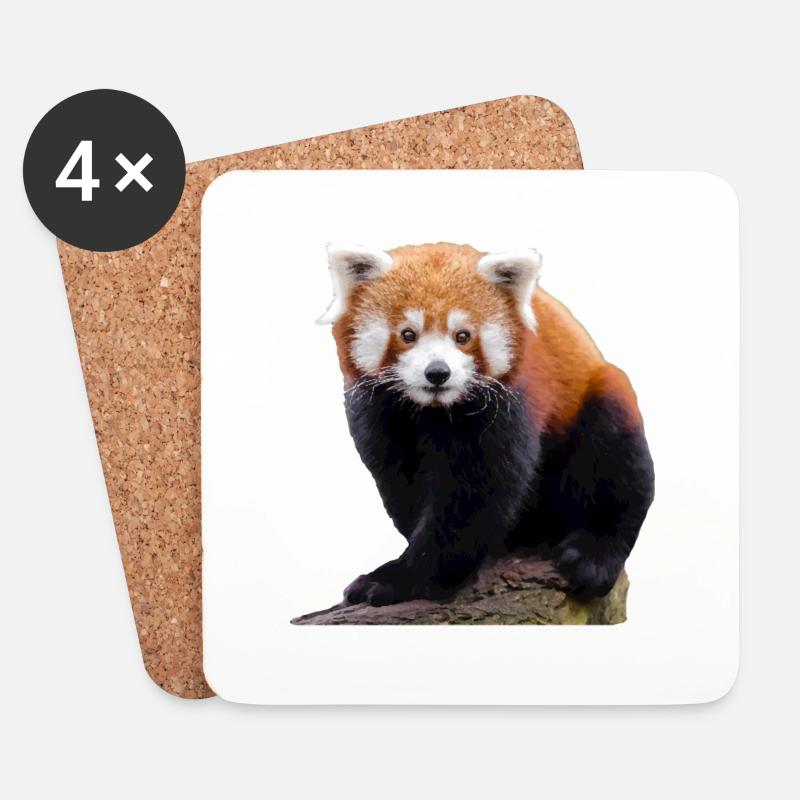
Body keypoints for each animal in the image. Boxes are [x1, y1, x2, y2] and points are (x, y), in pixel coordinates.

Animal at [318, 241, 655, 606]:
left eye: (463, 336)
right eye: (408, 334)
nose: (438, 373)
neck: (432, 411)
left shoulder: (505, 406)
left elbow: (475, 496)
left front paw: (402, 579)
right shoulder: (380, 415)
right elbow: (402, 484)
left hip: (598, 400)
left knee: (617, 458)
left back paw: (595, 553)